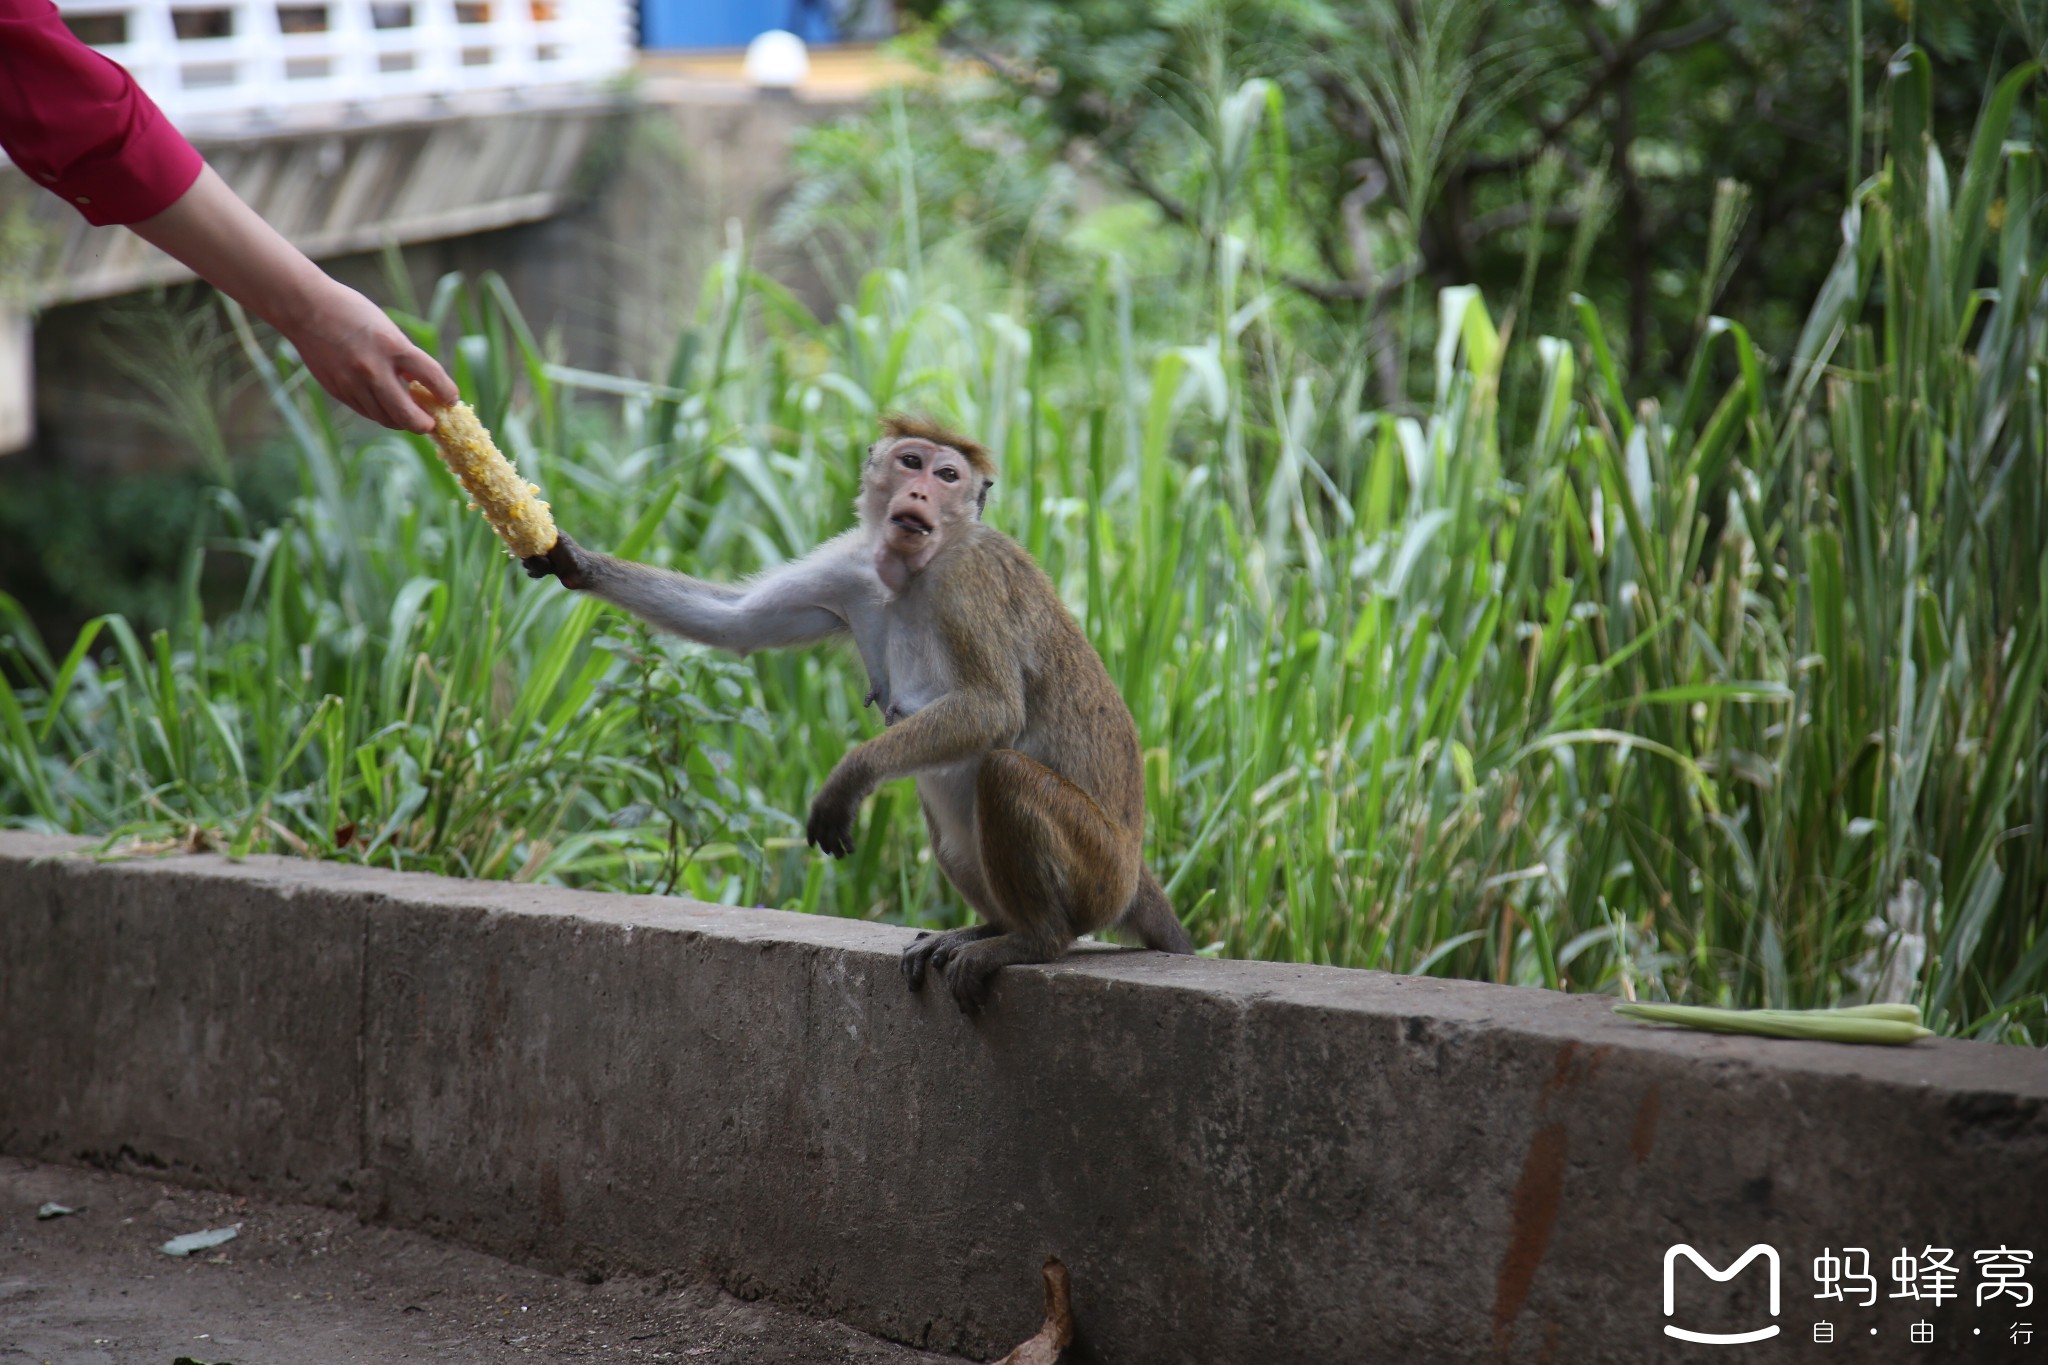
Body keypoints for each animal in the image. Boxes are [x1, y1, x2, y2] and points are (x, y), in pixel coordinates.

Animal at [524, 411, 1196, 1010]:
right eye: (911, 462)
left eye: (948, 474)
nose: (920, 491)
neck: (914, 574)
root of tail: (1134, 873)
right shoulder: (850, 568)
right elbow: (735, 622)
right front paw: (572, 560)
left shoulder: (966, 578)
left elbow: (993, 707)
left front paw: (851, 775)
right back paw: (989, 927)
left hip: (1097, 870)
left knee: (1002, 773)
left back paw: (1033, 939)